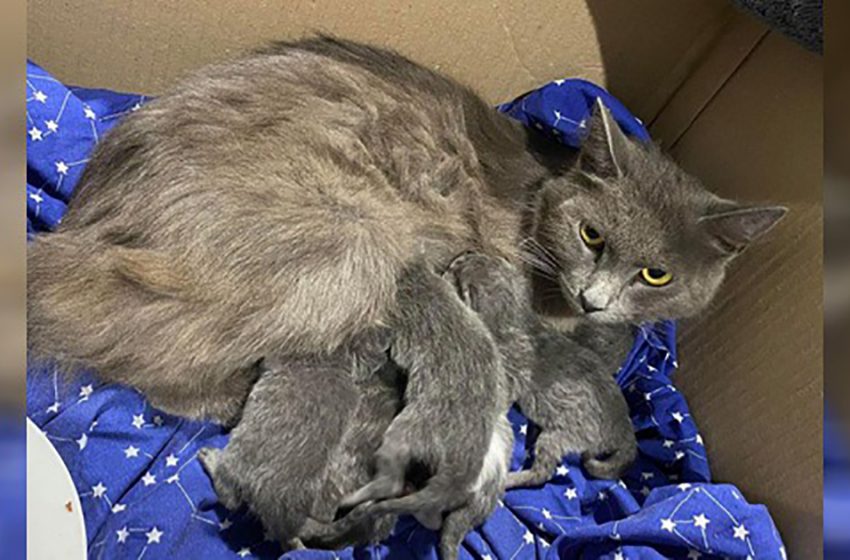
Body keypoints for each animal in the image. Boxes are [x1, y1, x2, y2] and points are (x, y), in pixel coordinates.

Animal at [26, 38, 780, 528]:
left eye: (658, 273)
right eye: (592, 234)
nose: (596, 297)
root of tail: (83, 230)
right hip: (346, 246)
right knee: (161, 365)